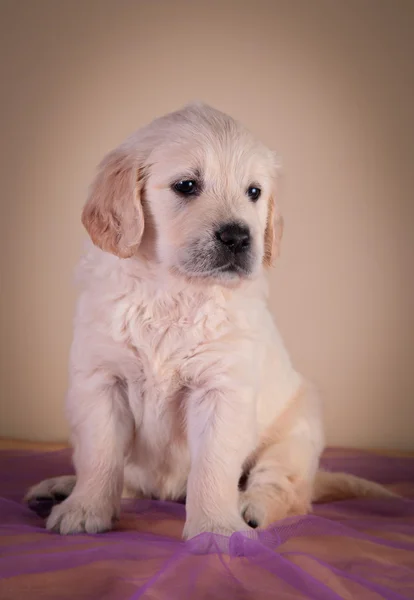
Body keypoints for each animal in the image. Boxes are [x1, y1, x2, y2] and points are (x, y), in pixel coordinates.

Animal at [25, 103, 394, 540]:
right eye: (186, 185)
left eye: (254, 192)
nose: (238, 237)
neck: (173, 289)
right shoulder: (102, 380)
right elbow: (100, 454)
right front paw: (85, 510)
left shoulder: (223, 388)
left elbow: (213, 468)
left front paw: (217, 530)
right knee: (128, 482)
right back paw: (61, 488)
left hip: (296, 435)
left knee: (283, 488)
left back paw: (249, 508)